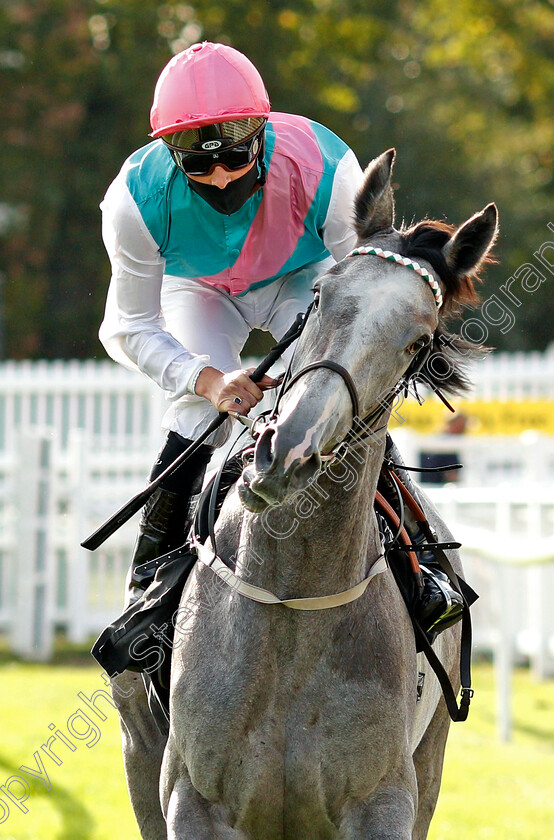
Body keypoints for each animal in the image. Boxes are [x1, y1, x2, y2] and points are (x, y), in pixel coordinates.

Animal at [111, 151, 496, 840]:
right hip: (139, 753)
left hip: (429, 763)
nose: (286, 453)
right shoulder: (192, 801)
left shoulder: (385, 802)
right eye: (321, 296)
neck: (293, 598)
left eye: (419, 341)